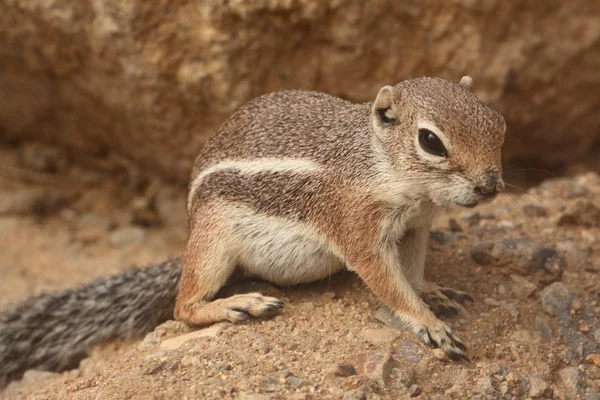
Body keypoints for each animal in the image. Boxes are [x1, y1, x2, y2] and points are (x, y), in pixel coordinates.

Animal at [0, 76, 506, 388]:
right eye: (430, 141)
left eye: (499, 123)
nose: (489, 185)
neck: (381, 164)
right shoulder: (357, 226)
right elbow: (387, 282)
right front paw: (429, 324)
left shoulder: (416, 228)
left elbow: (414, 272)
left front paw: (433, 291)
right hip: (213, 244)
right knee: (182, 306)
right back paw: (237, 304)